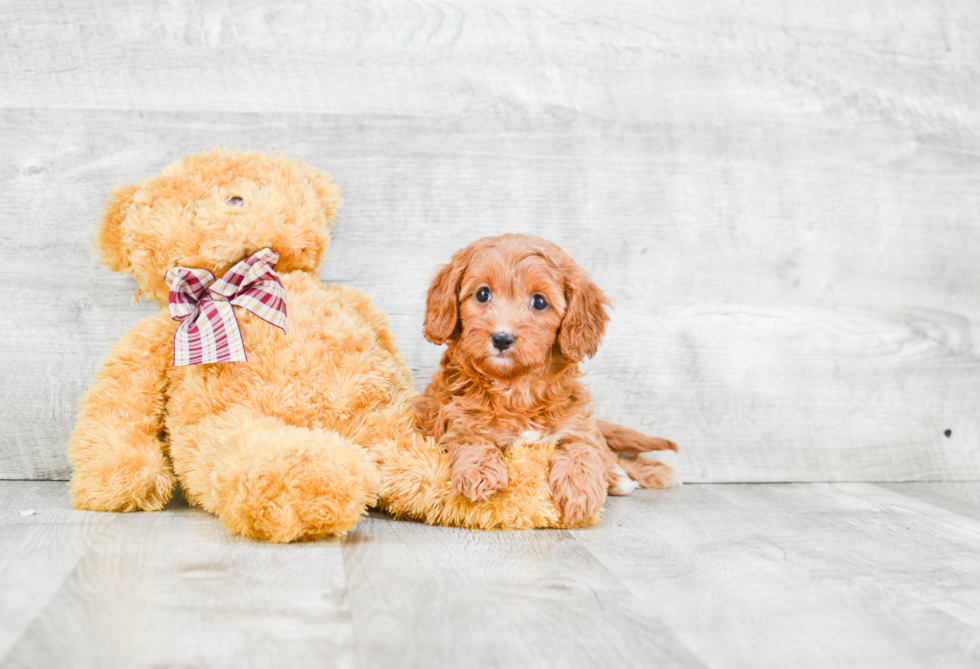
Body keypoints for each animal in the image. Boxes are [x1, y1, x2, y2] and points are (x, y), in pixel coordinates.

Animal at [410, 232, 676, 524]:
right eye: (482, 294)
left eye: (539, 301)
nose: (502, 338)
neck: (515, 385)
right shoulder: (453, 416)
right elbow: (473, 437)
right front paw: (480, 472)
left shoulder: (576, 424)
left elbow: (582, 448)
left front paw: (580, 489)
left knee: (609, 454)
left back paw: (642, 473)